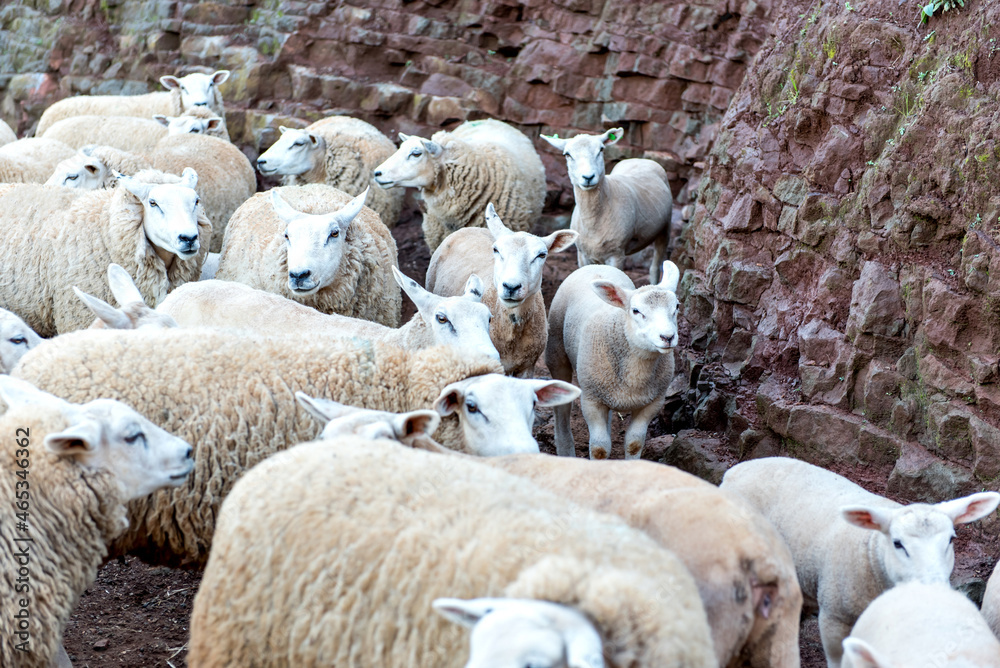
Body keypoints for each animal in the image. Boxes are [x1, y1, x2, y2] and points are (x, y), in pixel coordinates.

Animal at [541, 128, 673, 283]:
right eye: (567, 154)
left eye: (601, 149)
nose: (588, 177)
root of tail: (641, 159)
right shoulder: (582, 254)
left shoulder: (616, 254)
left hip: (665, 227)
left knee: (655, 267)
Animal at [547, 260, 681, 460]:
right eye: (636, 311)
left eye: (677, 307)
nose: (668, 337)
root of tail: (595, 265)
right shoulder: (591, 400)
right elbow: (599, 448)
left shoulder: (653, 402)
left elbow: (634, 443)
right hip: (557, 352)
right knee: (562, 407)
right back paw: (565, 451)